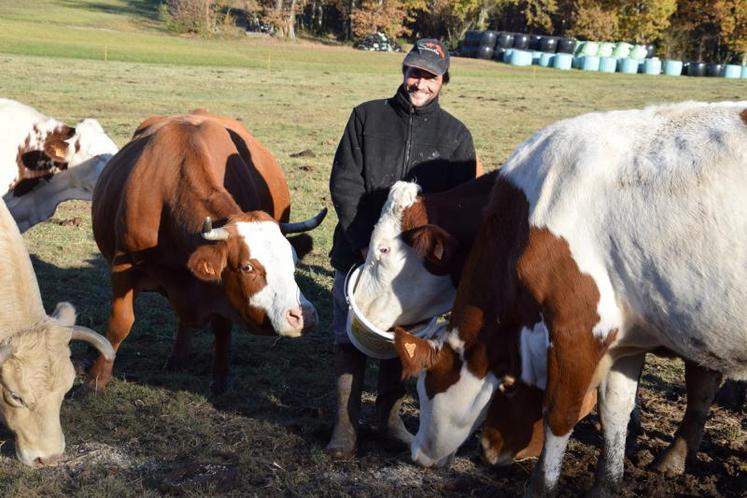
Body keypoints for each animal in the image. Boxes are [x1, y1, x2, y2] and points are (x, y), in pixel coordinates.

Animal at [87, 109, 324, 392]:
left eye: (293, 264)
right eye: (248, 267)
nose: (304, 315)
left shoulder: (221, 290)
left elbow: (222, 327)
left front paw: (220, 378)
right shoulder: (123, 268)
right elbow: (119, 323)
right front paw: (97, 378)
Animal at [388, 101, 744, 494]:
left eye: (427, 387)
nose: (417, 454)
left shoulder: (576, 329)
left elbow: (559, 414)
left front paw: (538, 487)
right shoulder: (625, 343)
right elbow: (615, 411)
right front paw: (606, 485)